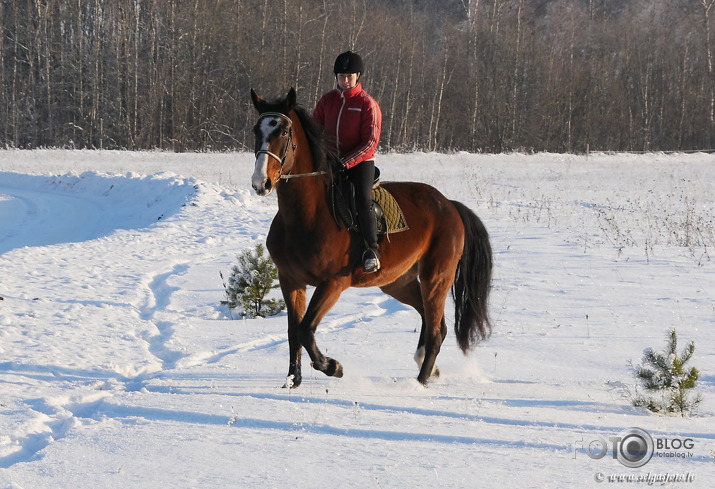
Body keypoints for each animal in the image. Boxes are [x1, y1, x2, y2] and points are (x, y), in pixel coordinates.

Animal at [250, 86, 492, 386]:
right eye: (256, 130)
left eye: (283, 131)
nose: (261, 183)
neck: (307, 216)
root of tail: (449, 205)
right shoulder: (290, 280)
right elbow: (294, 332)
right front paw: (293, 380)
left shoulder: (333, 283)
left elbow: (306, 329)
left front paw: (333, 366)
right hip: (399, 282)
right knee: (435, 322)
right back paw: (426, 366)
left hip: (436, 278)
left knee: (436, 330)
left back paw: (420, 381)